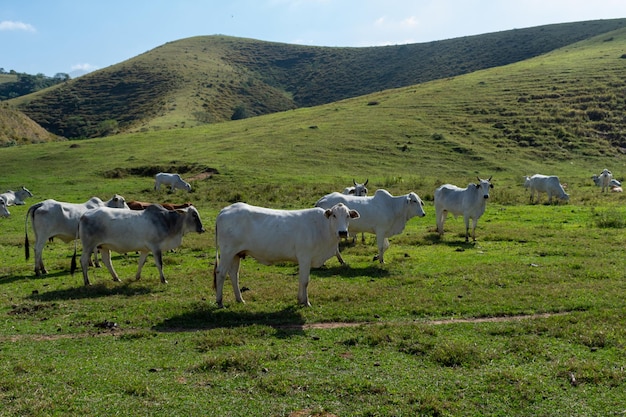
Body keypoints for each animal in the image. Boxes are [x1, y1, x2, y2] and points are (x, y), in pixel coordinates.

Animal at [72, 204, 205, 286]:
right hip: (89, 246)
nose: (202, 229)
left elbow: (141, 263)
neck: (168, 221)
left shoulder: (145, 250)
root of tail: (84, 215)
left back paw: (116, 278)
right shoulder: (156, 248)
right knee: (83, 261)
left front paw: (137, 277)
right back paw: (87, 282)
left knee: (107, 261)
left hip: (104, 246)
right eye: (194, 215)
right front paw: (163, 280)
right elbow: (159, 264)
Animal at [212, 202, 356, 306]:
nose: (343, 232)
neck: (323, 229)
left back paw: (240, 299)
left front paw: (300, 299)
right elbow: (305, 281)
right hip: (227, 251)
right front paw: (306, 302)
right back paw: (219, 301)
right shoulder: (305, 257)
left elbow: (301, 280)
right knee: (221, 273)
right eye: (334, 215)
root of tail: (225, 210)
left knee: (234, 274)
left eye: (348, 216)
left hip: (236, 254)